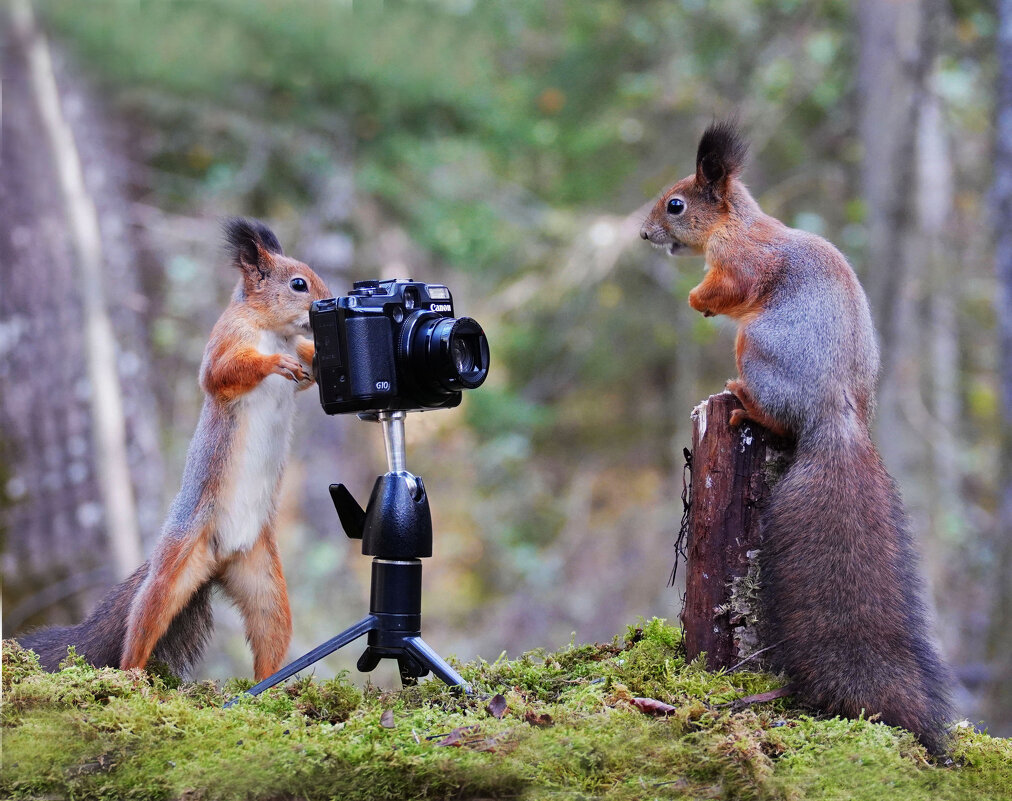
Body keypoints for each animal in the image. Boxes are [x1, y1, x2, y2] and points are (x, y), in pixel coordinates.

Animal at [17, 219, 329, 683]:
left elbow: (307, 371)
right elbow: (221, 373)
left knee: (270, 635)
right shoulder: (225, 341)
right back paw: (131, 677)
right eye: (298, 284)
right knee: (145, 619)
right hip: (175, 565)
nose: (328, 302)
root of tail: (219, 559)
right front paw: (273, 363)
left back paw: (273, 688)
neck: (274, 330)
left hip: (264, 581)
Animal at [639, 118, 955, 752]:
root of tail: (834, 417)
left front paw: (696, 299)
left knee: (769, 406)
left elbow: (729, 287)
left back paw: (745, 404)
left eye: (676, 204)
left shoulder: (742, 262)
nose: (644, 232)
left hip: (757, 346)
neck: (736, 223)